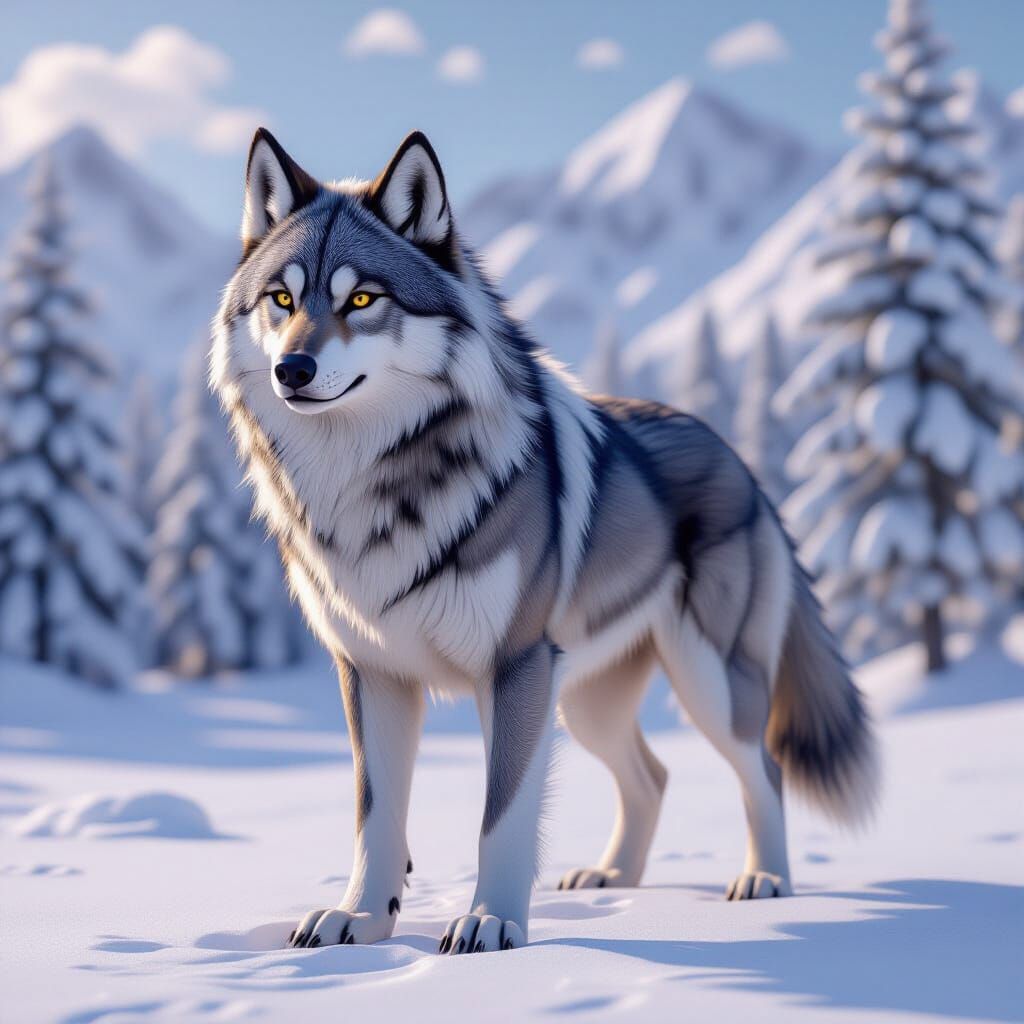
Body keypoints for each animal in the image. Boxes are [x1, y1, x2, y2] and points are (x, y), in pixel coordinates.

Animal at [211, 128, 879, 954]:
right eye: (282, 299)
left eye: (361, 299)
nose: (292, 369)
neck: (375, 489)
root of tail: (737, 455)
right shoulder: (372, 672)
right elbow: (376, 815)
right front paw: (361, 920)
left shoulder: (515, 669)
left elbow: (501, 816)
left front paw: (490, 924)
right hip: (587, 703)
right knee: (652, 776)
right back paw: (613, 878)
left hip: (706, 681)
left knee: (766, 767)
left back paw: (765, 881)